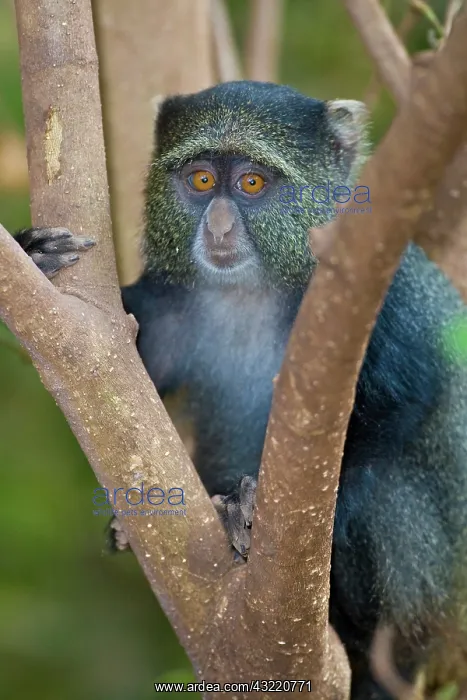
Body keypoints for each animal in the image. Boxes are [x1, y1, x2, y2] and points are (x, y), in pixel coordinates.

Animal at [15, 81, 467, 699]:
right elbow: (127, 355)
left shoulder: (383, 297)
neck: (252, 291)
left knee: (387, 492)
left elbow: (405, 402)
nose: (220, 227)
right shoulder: (172, 304)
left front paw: (252, 510)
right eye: (203, 180)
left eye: (251, 184)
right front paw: (34, 254)